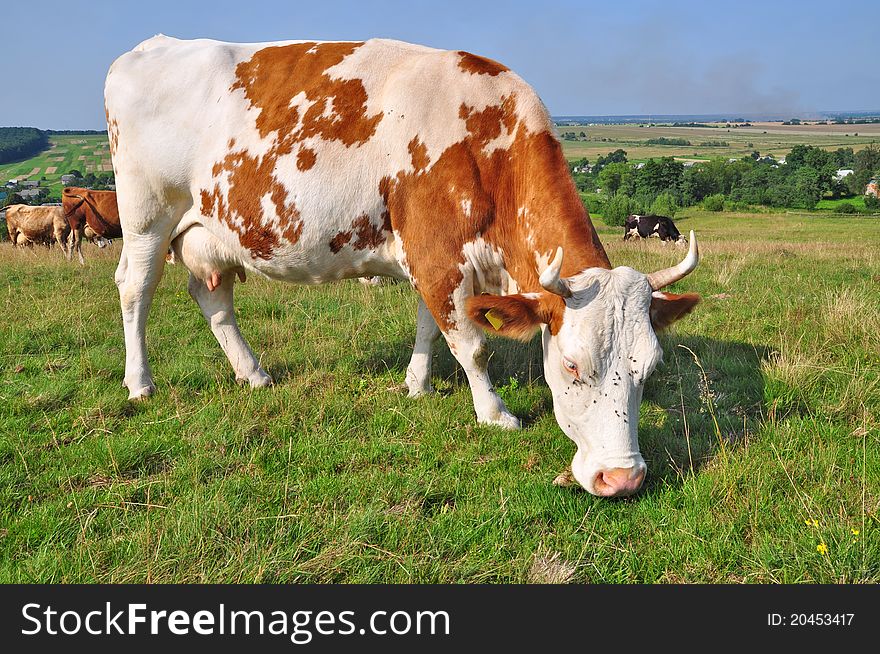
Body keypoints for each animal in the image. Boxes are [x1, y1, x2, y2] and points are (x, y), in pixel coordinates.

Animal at [105, 36, 700, 498]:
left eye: (650, 367)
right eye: (573, 366)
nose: (621, 479)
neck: (487, 135)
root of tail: (149, 48)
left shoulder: (429, 258)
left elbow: (429, 327)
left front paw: (416, 385)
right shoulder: (439, 255)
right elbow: (471, 344)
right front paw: (495, 413)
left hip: (211, 234)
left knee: (213, 297)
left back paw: (253, 374)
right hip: (146, 218)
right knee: (135, 290)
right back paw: (140, 383)